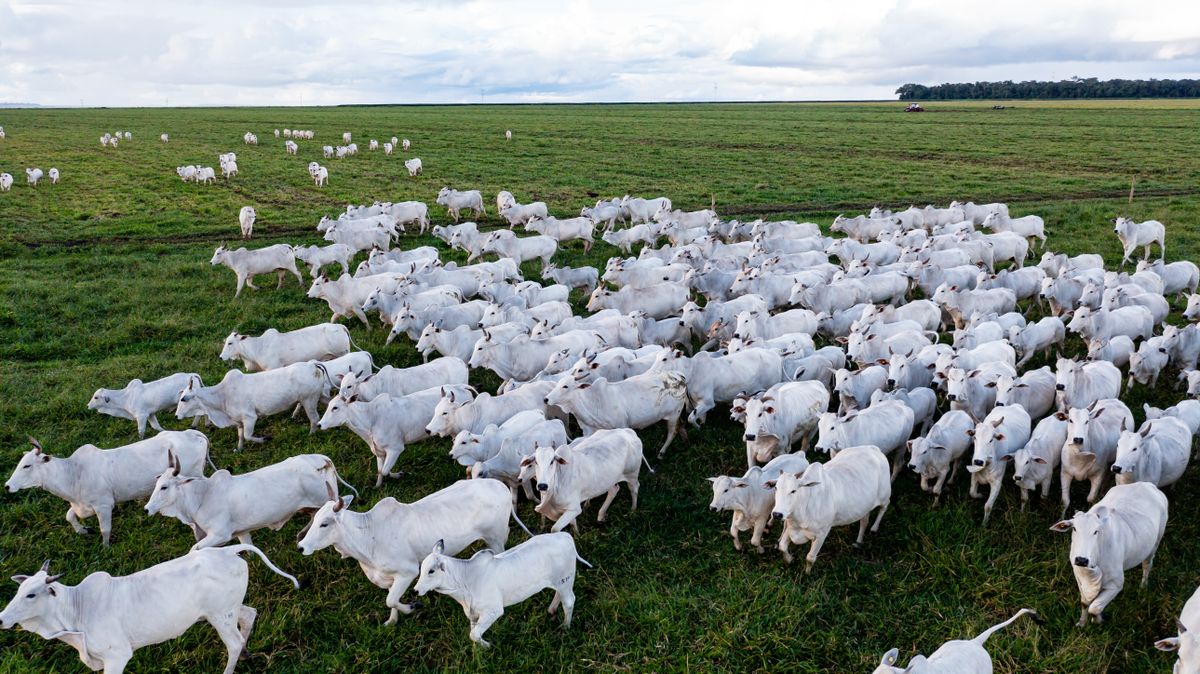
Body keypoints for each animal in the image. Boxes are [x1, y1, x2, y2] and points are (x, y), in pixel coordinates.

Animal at [0, 546, 298, 671]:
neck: (77, 609)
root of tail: (228, 550)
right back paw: (247, 654)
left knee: (233, 643)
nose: (2, 618)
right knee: (249, 615)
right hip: (226, 610)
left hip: (220, 616)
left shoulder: (118, 656)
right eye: (18, 591)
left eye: (31, 594)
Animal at [4, 429, 208, 546]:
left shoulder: (103, 505)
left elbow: (105, 530)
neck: (74, 474)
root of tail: (192, 433)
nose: (7, 486)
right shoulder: (82, 505)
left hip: (194, 473)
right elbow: (69, 516)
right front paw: (82, 530)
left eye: (27, 465)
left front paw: (105, 548)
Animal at [297, 479, 523, 623]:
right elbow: (391, 601)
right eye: (314, 519)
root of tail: (500, 485)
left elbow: (390, 600)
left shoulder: (408, 572)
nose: (301, 547)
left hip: (495, 538)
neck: (369, 537)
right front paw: (392, 621)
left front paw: (413, 607)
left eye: (325, 523)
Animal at [415, 530, 588, 647]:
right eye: (421, 569)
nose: (415, 590)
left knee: (569, 601)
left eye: (431, 571)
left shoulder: (493, 610)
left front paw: (488, 646)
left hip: (565, 580)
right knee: (559, 595)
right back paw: (551, 610)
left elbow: (474, 634)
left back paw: (565, 627)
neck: (465, 580)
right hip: (561, 582)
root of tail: (565, 536)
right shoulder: (473, 614)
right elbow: (473, 633)